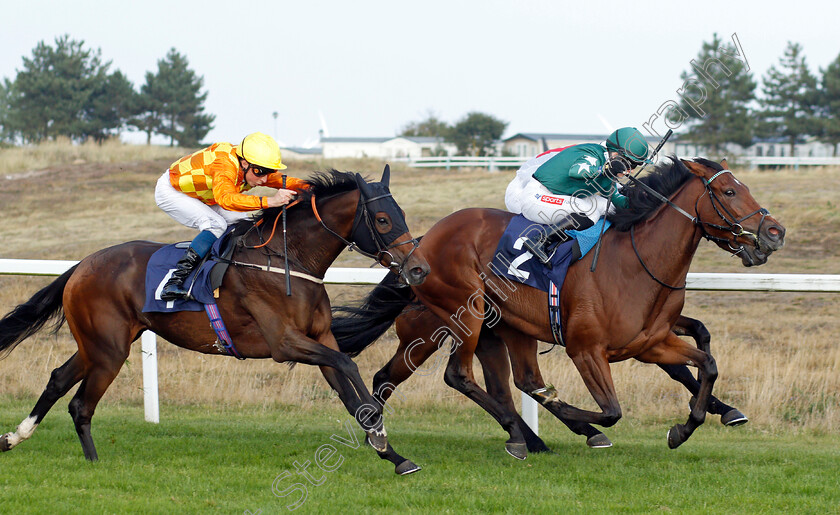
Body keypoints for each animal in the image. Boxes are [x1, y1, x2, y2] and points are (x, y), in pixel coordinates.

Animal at [0, 168, 430, 476]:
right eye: (382, 219)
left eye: (402, 215)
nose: (419, 269)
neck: (287, 259)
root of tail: (82, 265)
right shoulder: (284, 343)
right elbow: (348, 365)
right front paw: (379, 434)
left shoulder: (320, 337)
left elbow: (347, 388)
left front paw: (394, 456)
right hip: (108, 350)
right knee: (81, 404)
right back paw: (93, 465)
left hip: (99, 344)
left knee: (58, 380)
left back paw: (14, 437)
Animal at [332, 158, 784, 460]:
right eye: (729, 192)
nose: (774, 232)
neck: (638, 263)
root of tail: (420, 246)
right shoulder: (586, 350)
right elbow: (611, 411)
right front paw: (580, 419)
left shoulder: (651, 342)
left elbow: (706, 364)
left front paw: (687, 427)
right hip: (458, 316)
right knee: (453, 375)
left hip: (500, 328)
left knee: (505, 381)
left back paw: (521, 437)